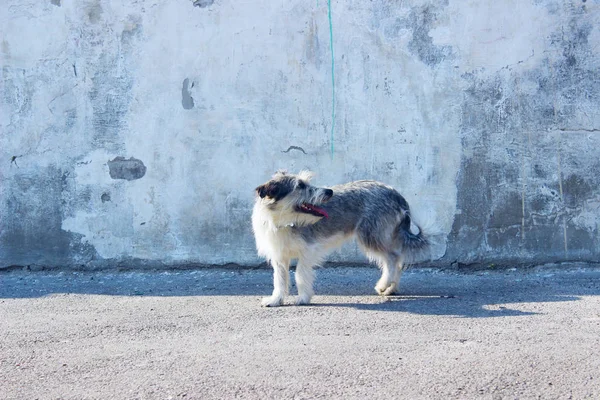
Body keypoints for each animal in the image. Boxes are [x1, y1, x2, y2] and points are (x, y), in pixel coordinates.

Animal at [251, 170, 428, 306]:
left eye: (306, 183)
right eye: (300, 186)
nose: (329, 192)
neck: (285, 222)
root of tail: (395, 193)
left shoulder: (308, 251)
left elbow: (300, 274)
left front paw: (303, 298)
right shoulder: (279, 257)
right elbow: (279, 279)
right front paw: (276, 300)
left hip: (371, 236)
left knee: (392, 258)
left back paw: (385, 284)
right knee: (397, 259)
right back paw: (391, 288)